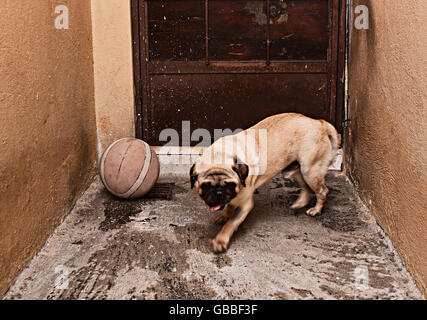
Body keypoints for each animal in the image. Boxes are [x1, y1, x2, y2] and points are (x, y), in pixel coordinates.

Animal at [191, 112, 342, 252]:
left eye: (230, 185)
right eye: (205, 186)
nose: (218, 193)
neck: (220, 155)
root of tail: (320, 123)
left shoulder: (245, 204)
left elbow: (231, 223)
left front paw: (221, 240)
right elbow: (229, 206)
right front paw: (225, 215)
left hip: (310, 171)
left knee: (322, 191)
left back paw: (316, 210)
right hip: (296, 170)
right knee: (306, 187)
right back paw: (300, 203)